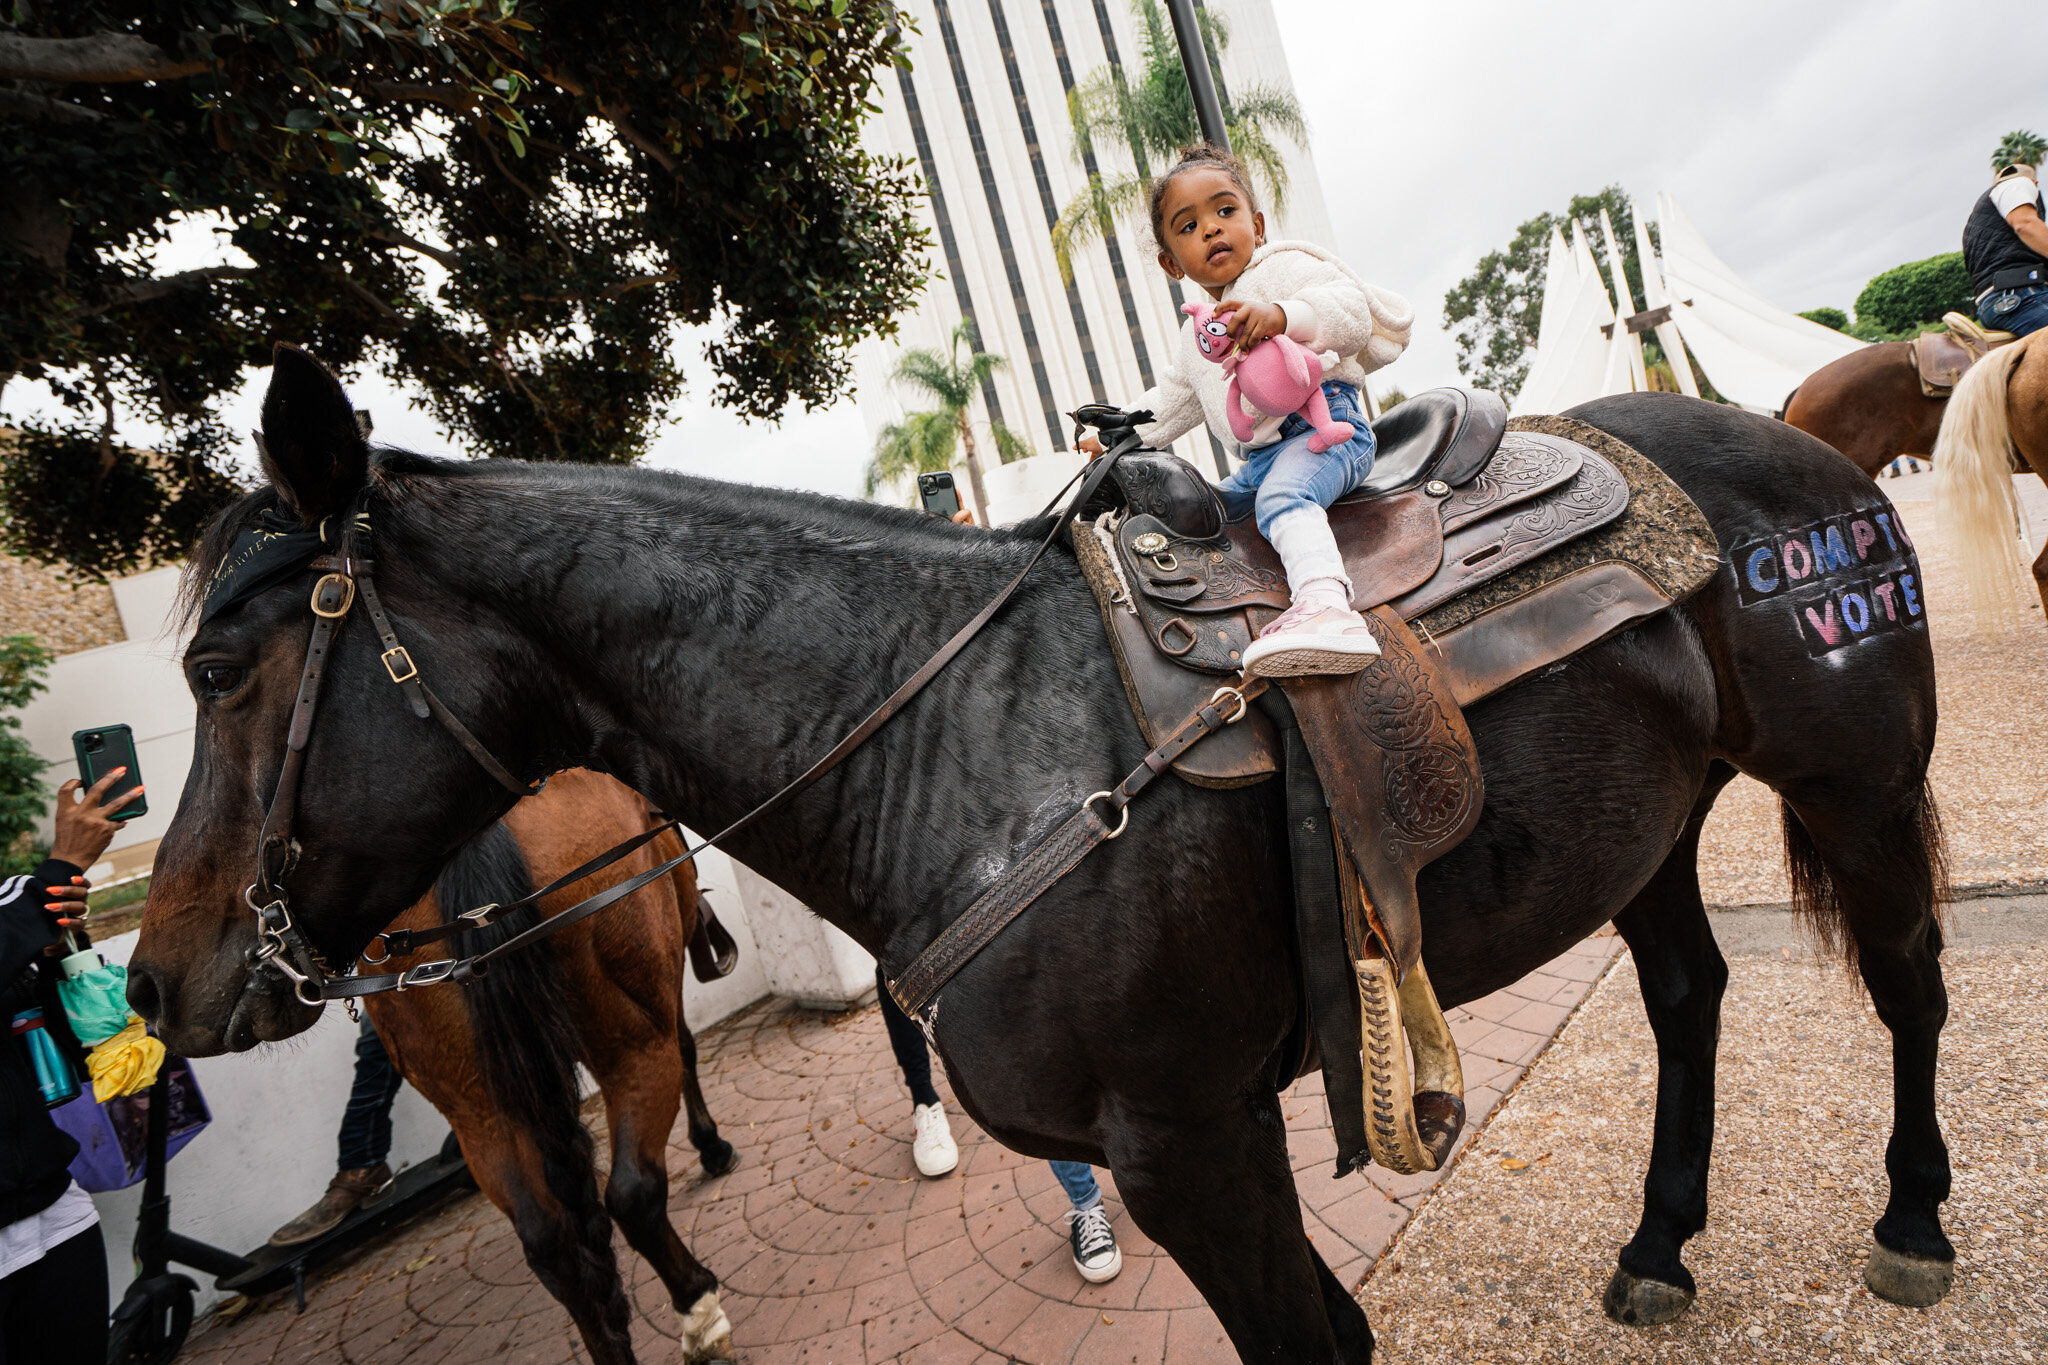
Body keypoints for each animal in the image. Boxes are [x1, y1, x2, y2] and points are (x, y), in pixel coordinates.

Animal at [364, 773, 741, 1358]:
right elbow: (686, 1045)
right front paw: (710, 1144)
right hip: (634, 1040)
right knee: (633, 1192)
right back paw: (699, 1312)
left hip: (478, 1114)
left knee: (550, 1242)